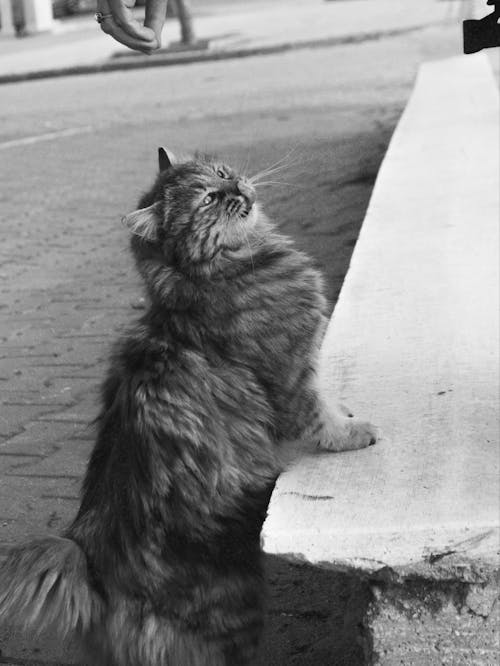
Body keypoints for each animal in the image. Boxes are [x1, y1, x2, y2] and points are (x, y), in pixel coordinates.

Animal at [0, 148, 376, 660]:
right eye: (209, 200)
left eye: (219, 173)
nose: (238, 187)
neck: (225, 267)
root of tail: (89, 559)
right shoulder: (291, 371)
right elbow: (320, 416)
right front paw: (354, 433)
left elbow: (328, 400)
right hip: (231, 617)